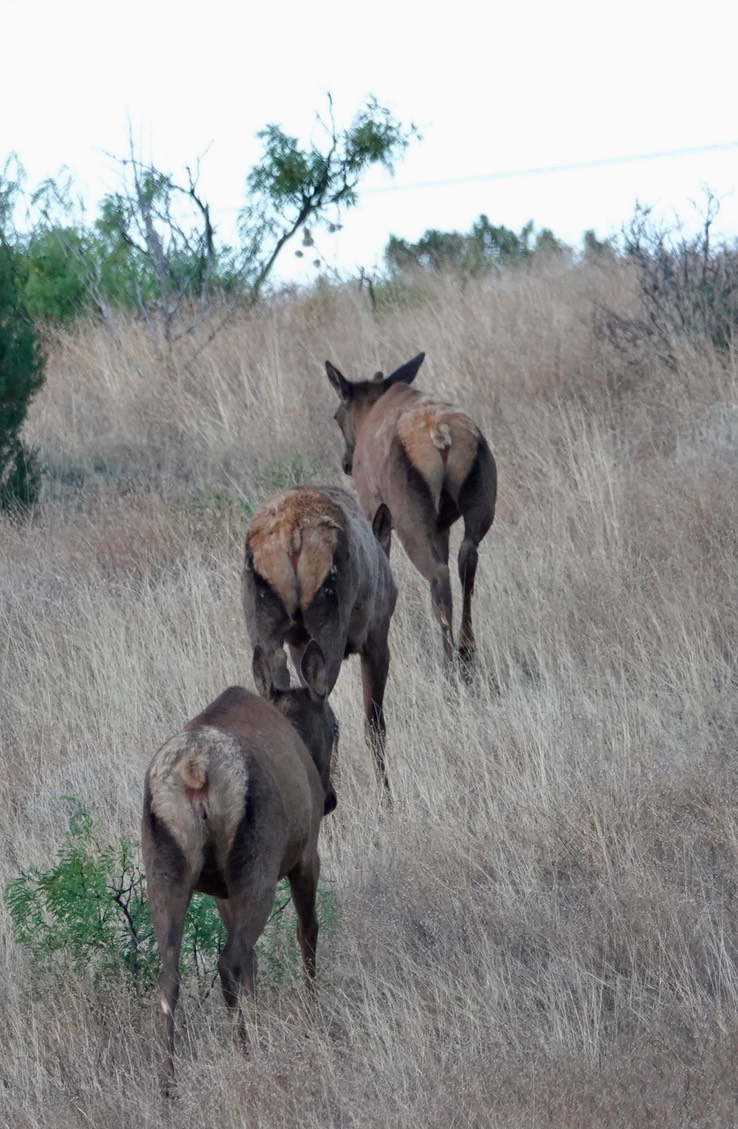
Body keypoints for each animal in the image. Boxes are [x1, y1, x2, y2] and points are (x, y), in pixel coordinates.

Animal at [141, 641, 338, 1088]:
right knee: (230, 960)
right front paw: (312, 1019)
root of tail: (195, 769)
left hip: (164, 869)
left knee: (169, 976)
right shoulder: (306, 855)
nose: (331, 799)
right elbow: (307, 933)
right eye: (336, 728)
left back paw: (168, 1084)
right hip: (257, 866)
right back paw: (246, 1056)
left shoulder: (221, 891)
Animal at [242, 485, 399, 794]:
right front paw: (386, 795)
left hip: (267, 634)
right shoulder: (376, 637)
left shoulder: (297, 642)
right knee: (325, 713)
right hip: (329, 628)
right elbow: (374, 725)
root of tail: (290, 536)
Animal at [327, 352, 496, 668]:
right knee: (467, 557)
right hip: (480, 503)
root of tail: (440, 434)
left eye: (337, 415)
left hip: (410, 521)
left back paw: (450, 662)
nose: (346, 462)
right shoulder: (442, 526)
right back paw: (467, 650)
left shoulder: (373, 507)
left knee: (438, 575)